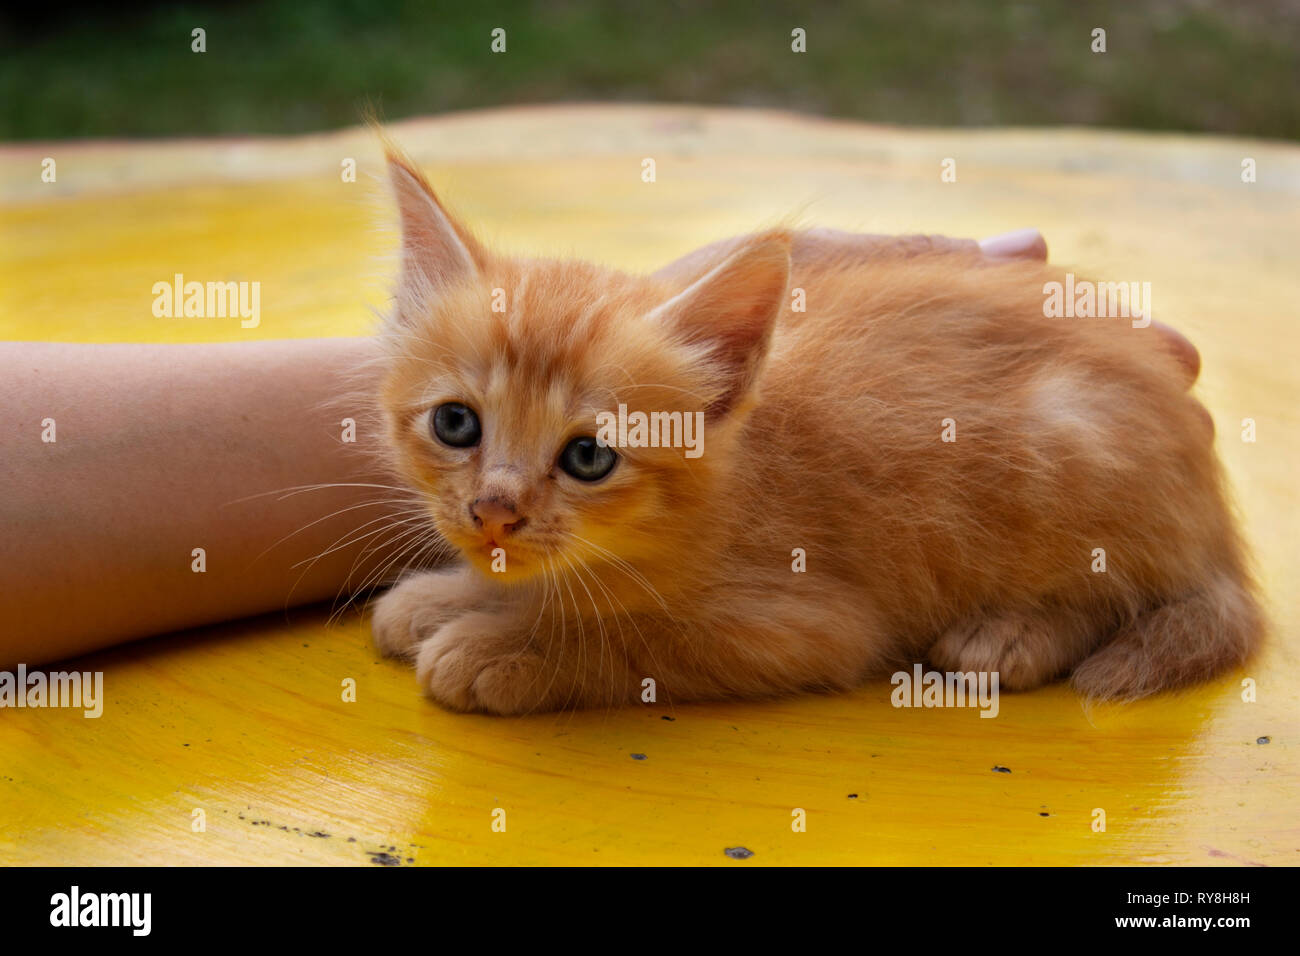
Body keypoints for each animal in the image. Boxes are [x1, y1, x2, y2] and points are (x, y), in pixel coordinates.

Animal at [371, 149, 1263, 712]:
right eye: (456, 423)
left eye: (589, 456)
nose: (493, 511)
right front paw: (448, 597)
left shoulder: (810, 623)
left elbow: (634, 636)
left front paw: (506, 647)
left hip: (1067, 452)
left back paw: (1010, 634)